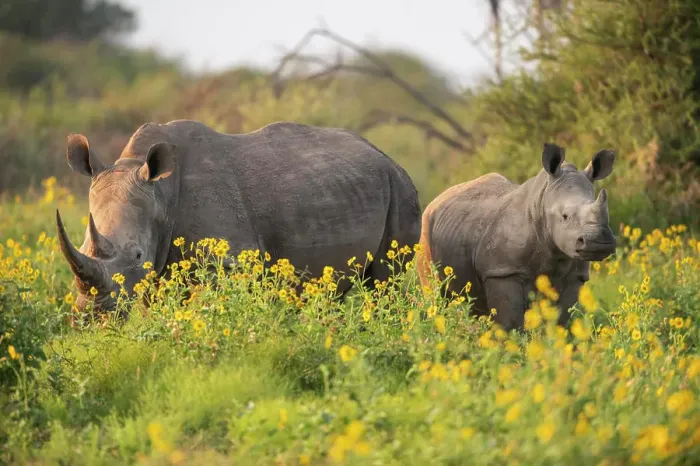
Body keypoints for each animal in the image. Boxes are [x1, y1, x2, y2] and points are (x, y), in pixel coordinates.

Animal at [57, 119, 421, 313]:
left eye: (136, 255)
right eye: (84, 245)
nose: (93, 312)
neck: (160, 192)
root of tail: (388, 158)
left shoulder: (226, 261)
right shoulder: (155, 268)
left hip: (400, 188)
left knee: (384, 282)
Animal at [417, 143, 616, 330]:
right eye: (565, 216)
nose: (599, 241)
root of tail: (437, 199)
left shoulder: (576, 276)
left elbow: (560, 321)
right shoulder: (502, 271)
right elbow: (510, 324)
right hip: (425, 233)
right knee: (436, 296)